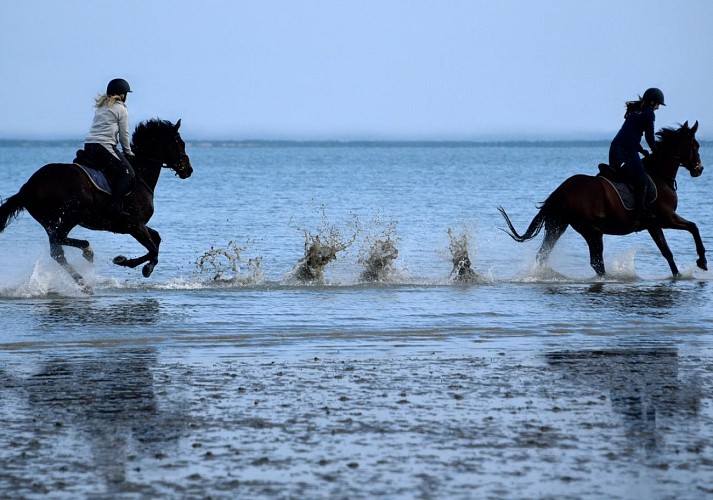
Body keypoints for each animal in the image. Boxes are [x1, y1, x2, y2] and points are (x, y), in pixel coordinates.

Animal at [0, 118, 192, 292]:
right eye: (179, 143)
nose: (188, 170)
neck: (140, 177)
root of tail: (30, 186)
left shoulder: (135, 225)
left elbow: (156, 239)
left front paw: (145, 267)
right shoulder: (134, 225)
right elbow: (152, 248)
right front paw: (125, 261)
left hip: (50, 221)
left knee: (57, 249)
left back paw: (83, 274)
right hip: (71, 215)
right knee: (58, 244)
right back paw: (86, 259)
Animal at [498, 121, 704, 278]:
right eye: (695, 146)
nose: (699, 169)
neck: (659, 174)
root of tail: (561, 190)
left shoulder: (654, 224)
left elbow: (668, 250)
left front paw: (680, 273)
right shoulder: (664, 219)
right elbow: (691, 229)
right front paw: (702, 262)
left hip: (558, 226)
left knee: (543, 254)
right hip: (593, 231)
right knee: (596, 262)